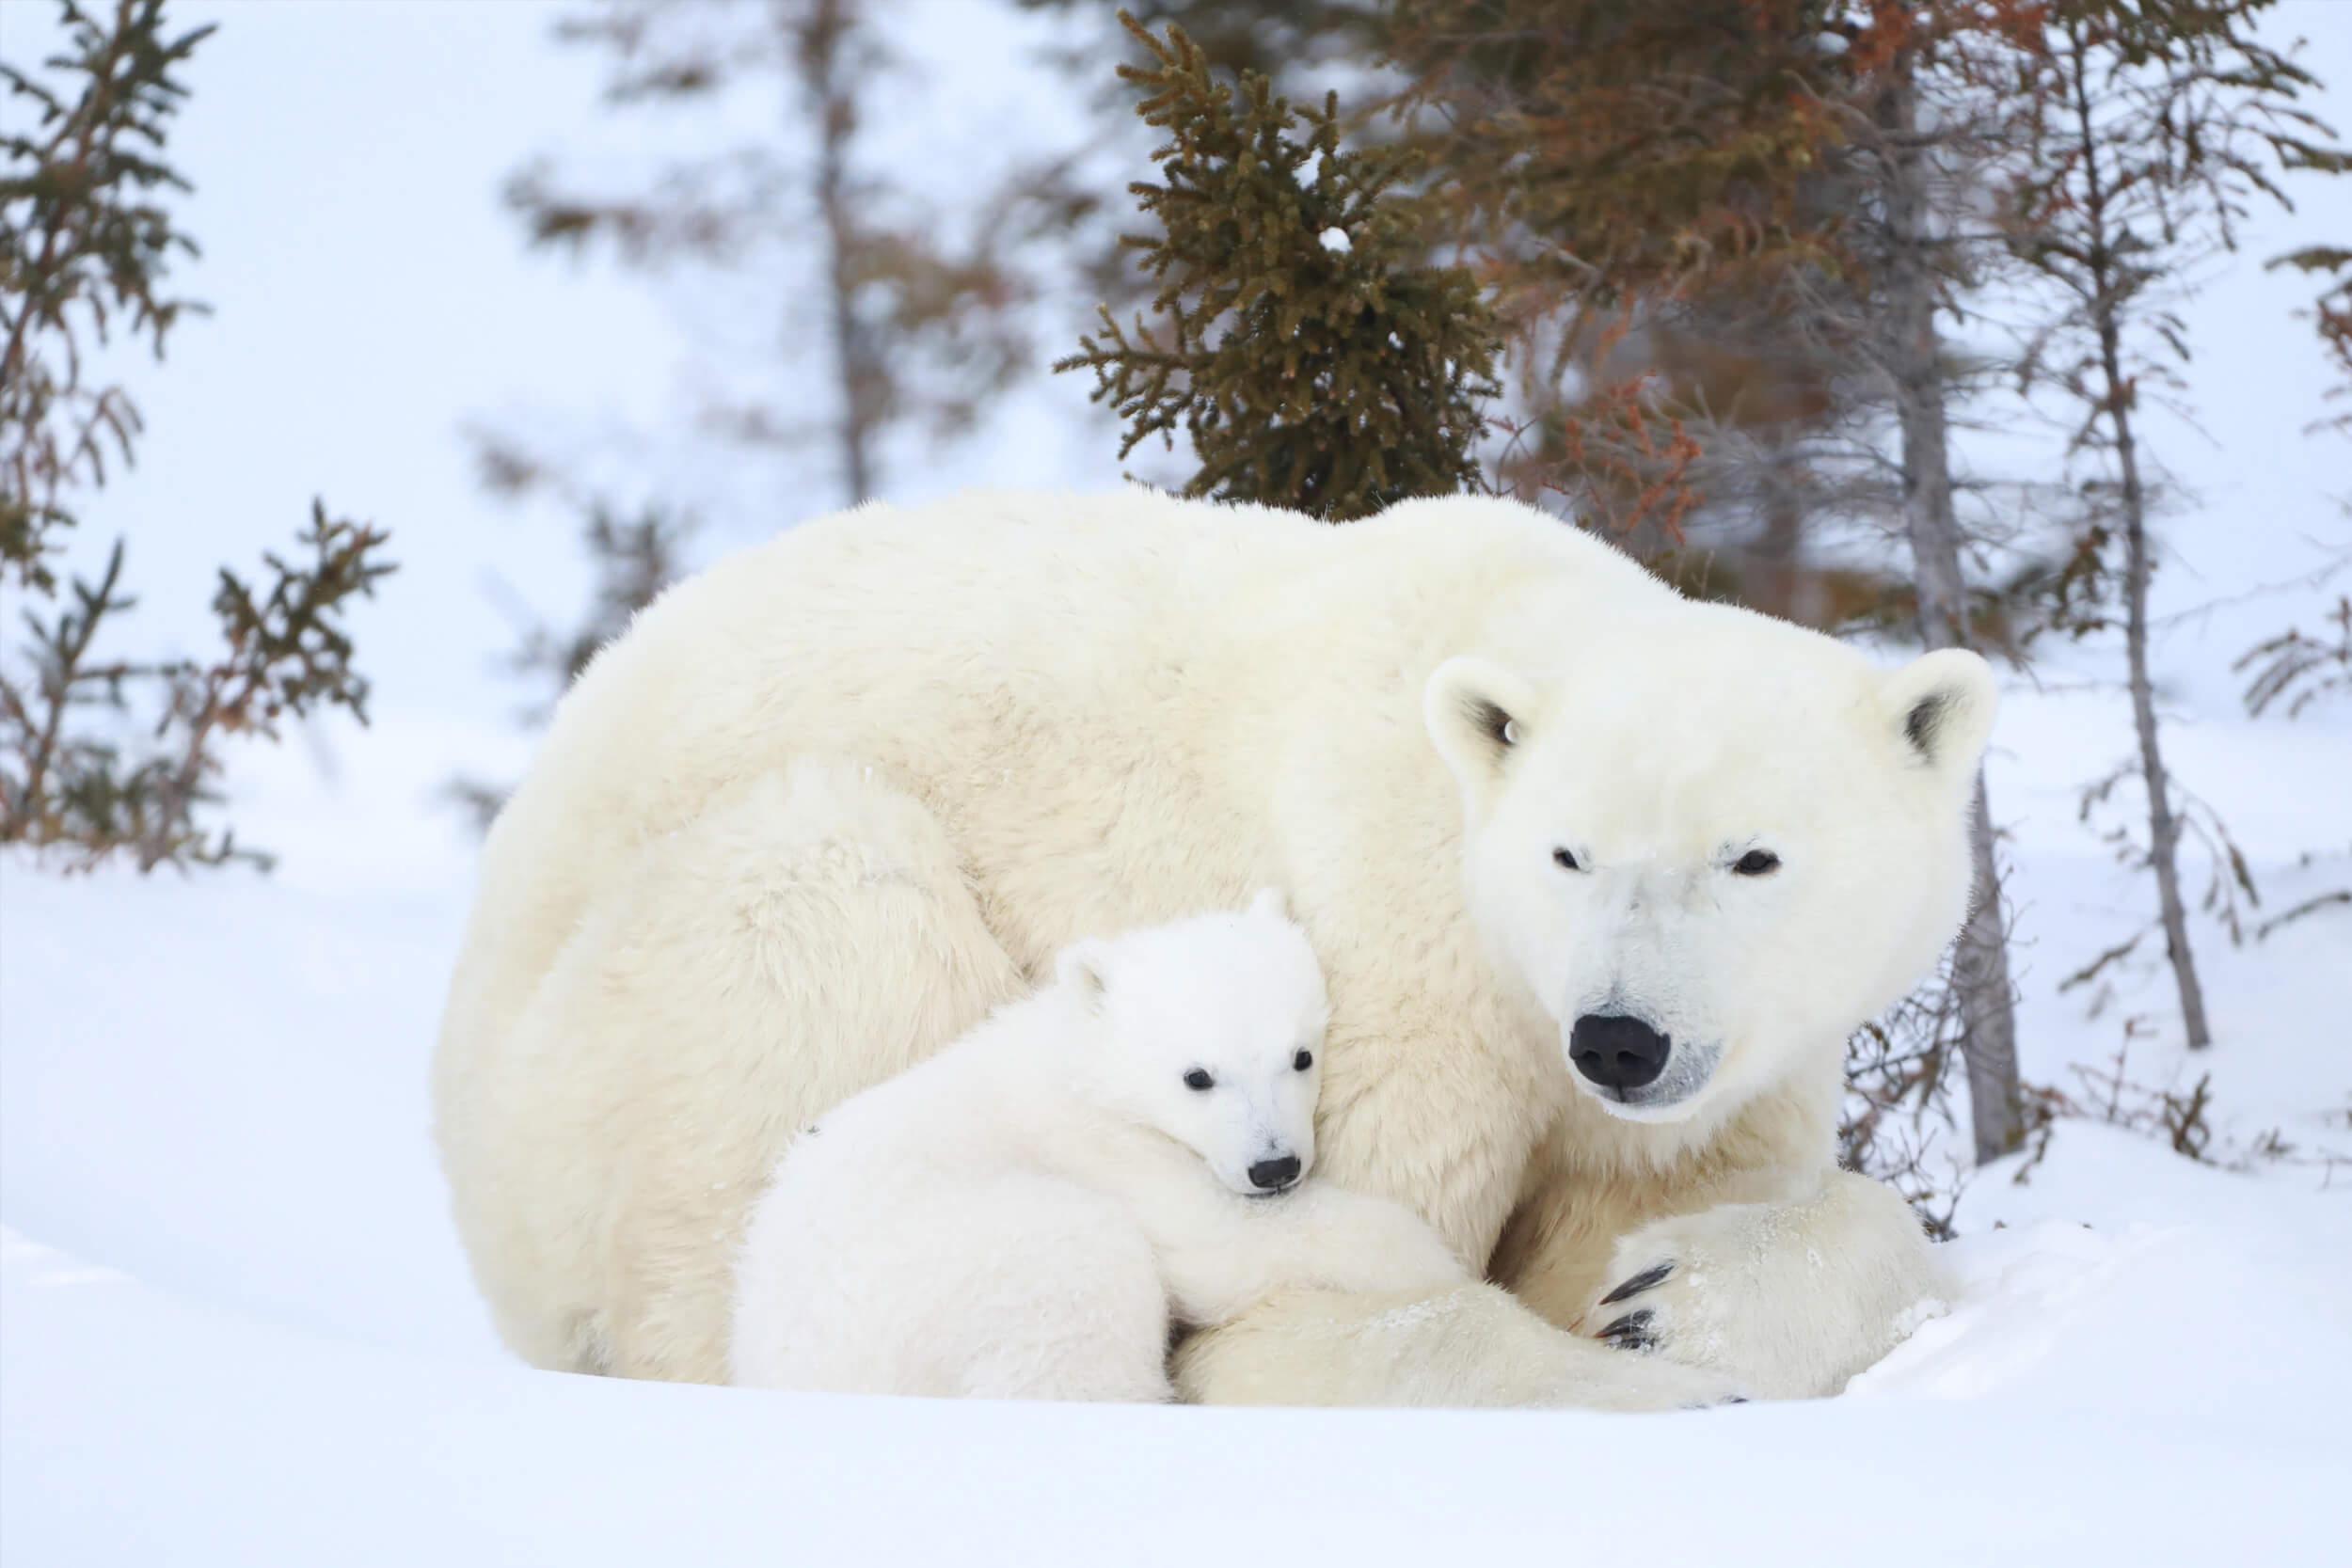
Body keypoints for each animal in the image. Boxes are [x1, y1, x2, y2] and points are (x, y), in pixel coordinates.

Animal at [433, 491, 1994, 1410]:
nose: (1621, 1037)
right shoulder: (1398, 973)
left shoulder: (1733, 1070)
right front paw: (1655, 1384)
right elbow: (1311, 1308)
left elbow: (1685, 1202)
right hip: (652, 1000)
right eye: (1570, 854)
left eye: (1752, 856)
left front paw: (1665, 1296)